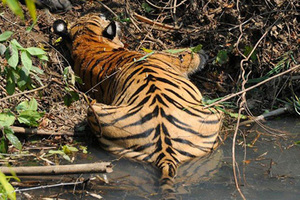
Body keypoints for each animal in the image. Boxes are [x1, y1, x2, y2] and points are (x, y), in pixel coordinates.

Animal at [52, 13, 223, 197]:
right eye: (103, 17)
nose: (105, 14)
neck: (87, 41)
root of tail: (165, 152)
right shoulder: (166, 56)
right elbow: (184, 55)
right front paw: (201, 53)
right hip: (214, 112)